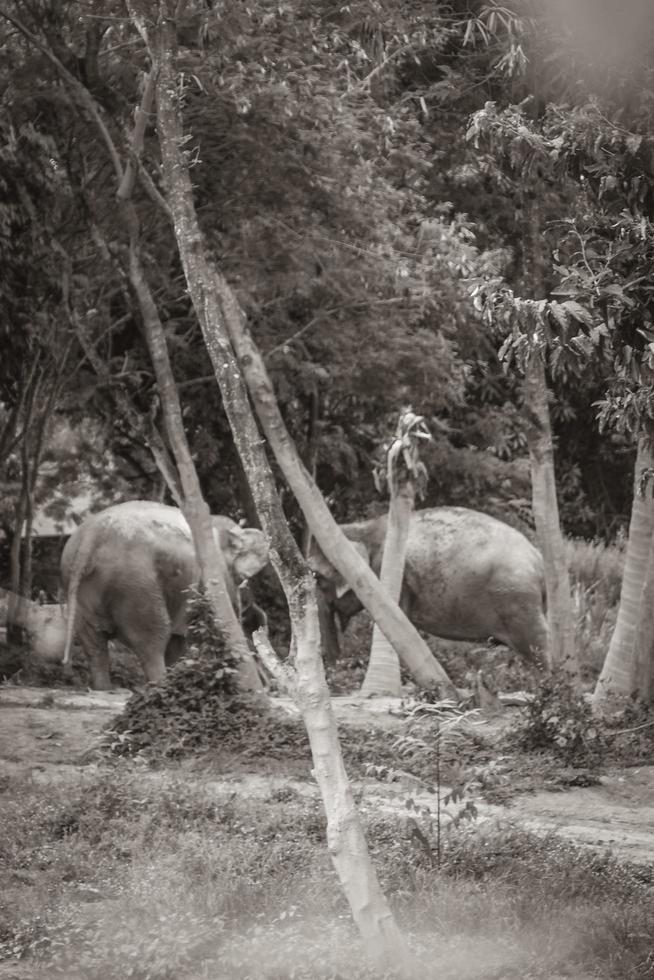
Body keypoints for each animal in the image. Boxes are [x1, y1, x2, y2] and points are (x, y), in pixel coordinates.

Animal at [59, 498, 270, 688]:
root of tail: (90, 536)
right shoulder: (215, 575)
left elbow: (179, 639)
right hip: (135, 582)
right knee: (152, 637)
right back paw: (161, 685)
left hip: (81, 583)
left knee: (93, 642)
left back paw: (104, 688)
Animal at [310, 506, 552, 668]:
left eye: (318, 577)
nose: (336, 664)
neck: (364, 527)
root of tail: (538, 560)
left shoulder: (393, 578)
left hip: (518, 600)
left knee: (539, 645)